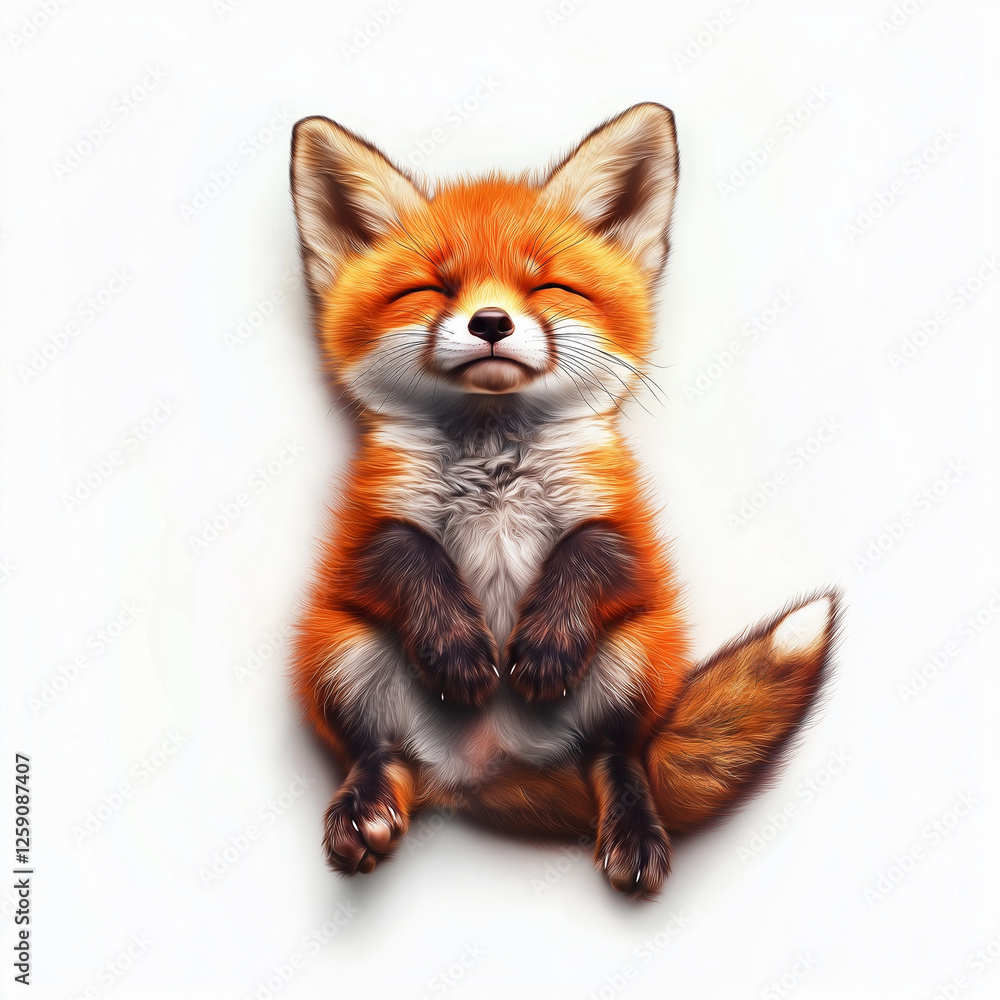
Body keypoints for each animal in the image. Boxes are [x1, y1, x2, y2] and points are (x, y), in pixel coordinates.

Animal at [288, 103, 838, 898]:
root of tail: (480, 770)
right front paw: (458, 647)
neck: (494, 458)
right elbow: (399, 548)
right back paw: (363, 808)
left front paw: (546, 645)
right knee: (378, 754)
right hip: (338, 648)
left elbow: (595, 549)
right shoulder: (363, 521)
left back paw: (634, 827)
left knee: (619, 758)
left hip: (636, 654)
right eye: (429, 289)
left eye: (550, 288)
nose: (490, 322)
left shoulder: (624, 517)